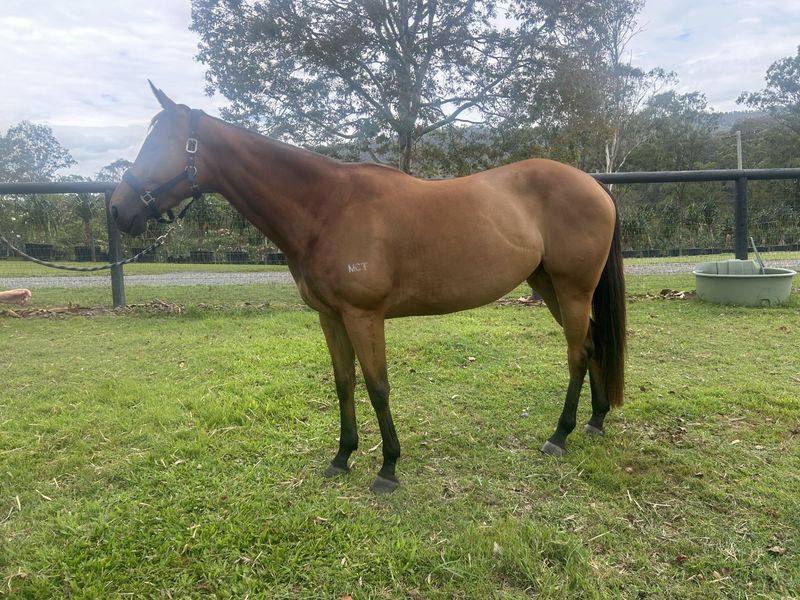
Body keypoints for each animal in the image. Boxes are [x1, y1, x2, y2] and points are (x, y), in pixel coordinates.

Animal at [111, 83, 627, 494]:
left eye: (160, 143)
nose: (117, 209)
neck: (326, 209)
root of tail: (595, 186)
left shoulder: (364, 315)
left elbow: (378, 386)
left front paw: (388, 469)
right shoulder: (331, 316)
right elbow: (344, 382)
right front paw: (342, 457)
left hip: (572, 288)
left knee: (577, 352)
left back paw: (559, 436)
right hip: (550, 286)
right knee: (592, 343)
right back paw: (596, 421)